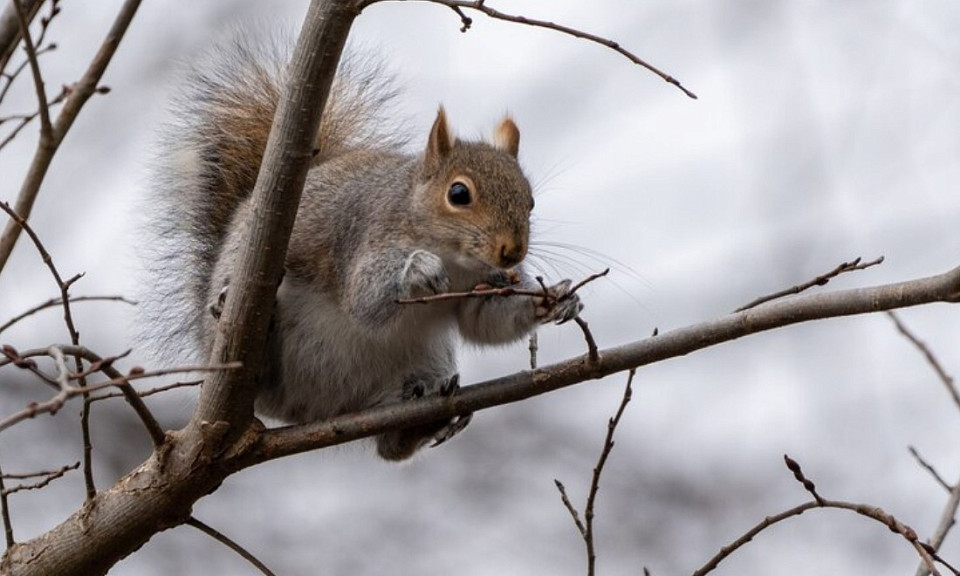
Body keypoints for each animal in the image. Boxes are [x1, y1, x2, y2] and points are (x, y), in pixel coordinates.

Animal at [139, 37, 580, 460]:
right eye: (458, 194)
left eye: (530, 201)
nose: (512, 253)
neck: (456, 260)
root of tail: (315, 409)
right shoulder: (365, 236)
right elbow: (363, 300)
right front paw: (417, 268)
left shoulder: (481, 284)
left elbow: (484, 321)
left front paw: (555, 299)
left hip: (425, 358)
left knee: (391, 447)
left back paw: (420, 421)